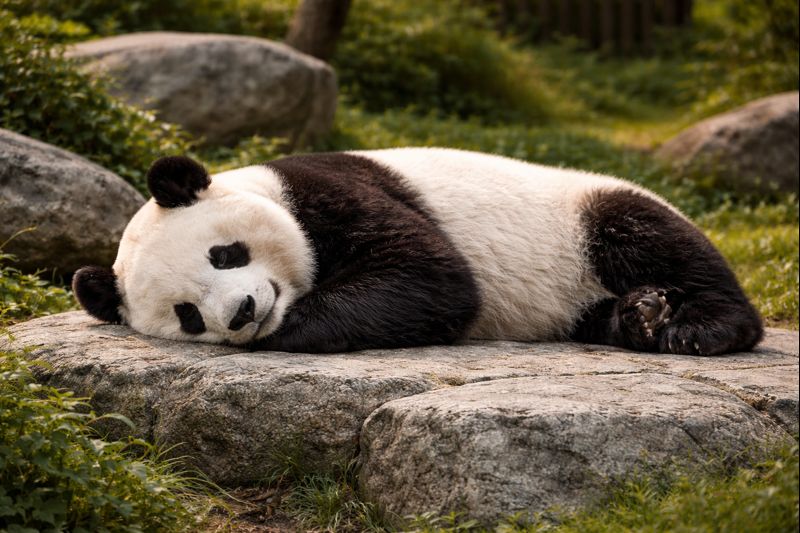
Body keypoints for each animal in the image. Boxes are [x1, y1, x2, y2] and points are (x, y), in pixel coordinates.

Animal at [73, 148, 763, 355]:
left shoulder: (330, 192)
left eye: (224, 254)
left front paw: (293, 327)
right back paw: (639, 317)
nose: (243, 312)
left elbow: (431, 275)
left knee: (644, 235)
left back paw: (696, 327)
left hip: (580, 215)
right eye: (188, 315)